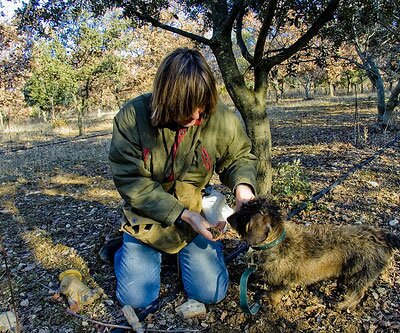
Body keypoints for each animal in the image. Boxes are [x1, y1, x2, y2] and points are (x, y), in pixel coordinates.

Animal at [228, 197, 400, 308]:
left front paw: (270, 302)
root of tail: (380, 236)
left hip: (360, 275)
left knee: (358, 294)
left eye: (244, 215)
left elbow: (275, 293)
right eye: (243, 207)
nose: (228, 218)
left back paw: (342, 305)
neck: (277, 243)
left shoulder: (284, 281)